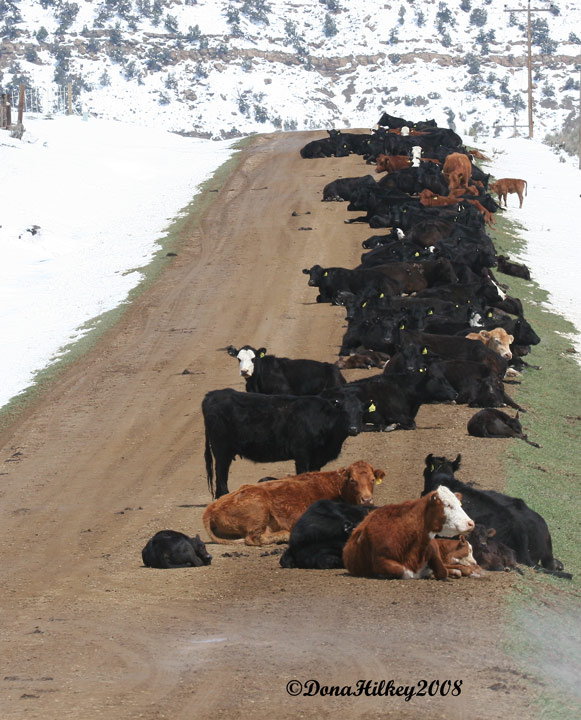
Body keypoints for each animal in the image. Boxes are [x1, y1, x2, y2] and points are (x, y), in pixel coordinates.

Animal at [201, 386, 362, 498]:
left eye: (359, 412)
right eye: (344, 411)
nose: (353, 429)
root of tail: (212, 395)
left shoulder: (316, 459)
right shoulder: (302, 454)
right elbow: (302, 474)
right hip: (222, 450)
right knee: (221, 474)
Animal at [202, 462, 382, 544]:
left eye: (373, 480)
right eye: (353, 480)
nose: (367, 499)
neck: (336, 486)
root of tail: (213, 506)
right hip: (259, 508)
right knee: (255, 538)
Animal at [342, 484, 474, 580]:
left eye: (459, 504)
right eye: (448, 505)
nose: (471, 523)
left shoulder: (431, 550)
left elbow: (442, 570)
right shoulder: (380, 559)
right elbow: (404, 571)